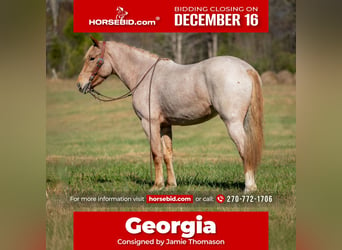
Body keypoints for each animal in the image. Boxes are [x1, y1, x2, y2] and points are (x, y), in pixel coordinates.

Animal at [77, 36, 264, 193]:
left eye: (92, 58)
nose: (80, 85)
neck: (144, 75)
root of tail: (246, 68)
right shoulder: (165, 125)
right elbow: (167, 154)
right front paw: (170, 185)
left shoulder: (149, 123)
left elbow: (156, 153)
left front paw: (157, 185)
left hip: (232, 122)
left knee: (245, 149)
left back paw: (249, 187)